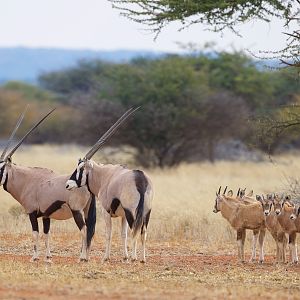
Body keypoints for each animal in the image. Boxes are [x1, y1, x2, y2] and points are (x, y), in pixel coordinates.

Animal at [0, 109, 96, 262]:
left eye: (1, 168)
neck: (27, 181)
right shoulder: (46, 216)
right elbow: (46, 233)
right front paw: (48, 256)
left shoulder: (32, 213)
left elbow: (35, 233)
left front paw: (34, 257)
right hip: (86, 211)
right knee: (90, 230)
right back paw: (86, 257)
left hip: (77, 211)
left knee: (84, 230)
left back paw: (82, 257)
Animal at [66, 108, 154, 262]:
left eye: (80, 168)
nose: (68, 184)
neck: (104, 176)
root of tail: (140, 179)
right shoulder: (123, 215)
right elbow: (123, 234)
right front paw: (124, 256)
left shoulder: (106, 211)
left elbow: (109, 233)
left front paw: (106, 258)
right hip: (146, 212)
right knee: (143, 232)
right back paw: (142, 259)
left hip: (132, 212)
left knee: (135, 230)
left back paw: (134, 258)